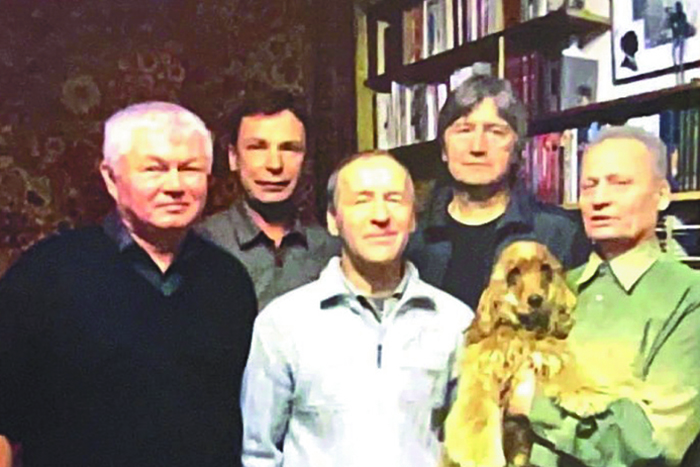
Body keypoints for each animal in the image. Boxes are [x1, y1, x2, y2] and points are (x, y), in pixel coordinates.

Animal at [442, 241, 598, 467]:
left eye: (545, 270)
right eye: (513, 274)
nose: (535, 300)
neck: (524, 332)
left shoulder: (550, 356)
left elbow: (568, 369)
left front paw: (583, 394)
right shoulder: (483, 371)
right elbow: (477, 412)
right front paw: (481, 455)